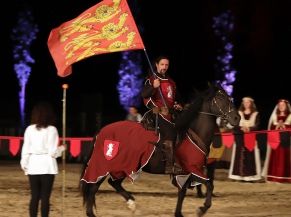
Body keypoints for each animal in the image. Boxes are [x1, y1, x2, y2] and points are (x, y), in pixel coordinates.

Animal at [79, 82, 240, 216]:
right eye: (221, 99)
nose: (237, 118)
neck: (192, 132)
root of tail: (101, 131)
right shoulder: (193, 168)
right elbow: (209, 184)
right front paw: (202, 209)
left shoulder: (184, 173)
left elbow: (182, 192)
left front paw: (179, 214)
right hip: (106, 164)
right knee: (94, 187)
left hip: (125, 165)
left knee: (113, 183)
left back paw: (132, 204)